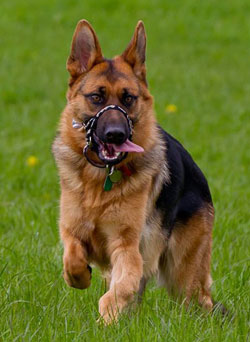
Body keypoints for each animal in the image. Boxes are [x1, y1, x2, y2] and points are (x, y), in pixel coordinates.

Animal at [52, 19, 215, 324]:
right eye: (96, 97)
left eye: (128, 98)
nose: (116, 134)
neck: (100, 181)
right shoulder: (71, 229)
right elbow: (73, 258)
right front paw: (80, 277)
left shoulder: (127, 247)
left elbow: (119, 291)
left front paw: (106, 320)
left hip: (185, 276)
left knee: (200, 301)